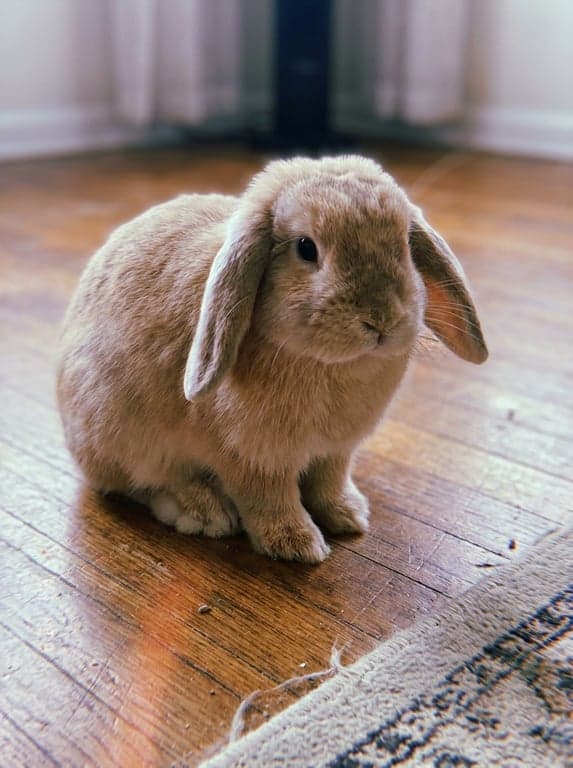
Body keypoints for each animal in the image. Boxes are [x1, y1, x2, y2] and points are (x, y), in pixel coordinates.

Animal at [56, 155, 487, 563]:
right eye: (306, 247)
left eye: (404, 246)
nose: (380, 319)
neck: (327, 365)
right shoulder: (251, 458)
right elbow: (268, 500)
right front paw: (297, 545)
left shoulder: (335, 453)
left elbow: (328, 483)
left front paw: (350, 515)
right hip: (121, 433)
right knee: (141, 482)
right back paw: (203, 512)